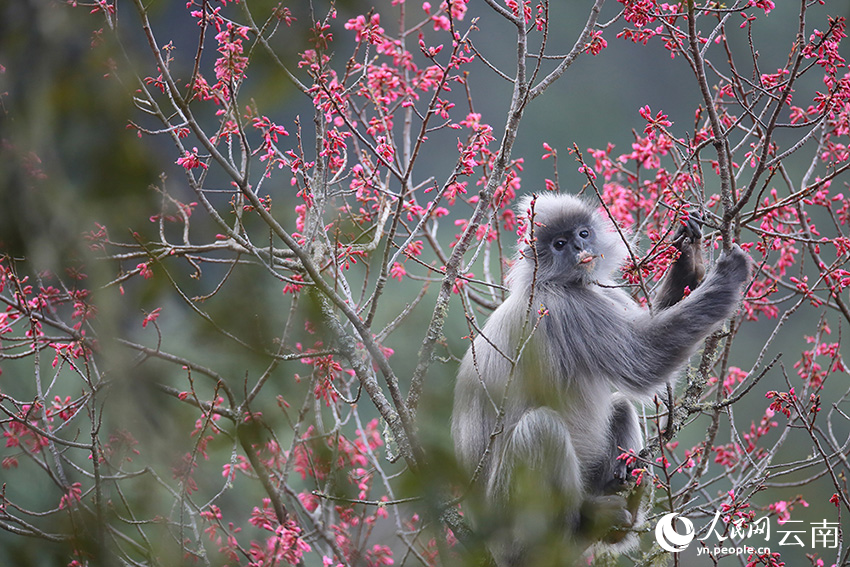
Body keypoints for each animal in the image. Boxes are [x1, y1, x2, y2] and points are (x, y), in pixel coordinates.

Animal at [451, 193, 751, 566]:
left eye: (583, 233)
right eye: (560, 244)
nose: (581, 248)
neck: (551, 281)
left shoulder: (597, 292)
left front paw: (688, 256)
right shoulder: (568, 307)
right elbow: (646, 359)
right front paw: (729, 274)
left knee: (619, 405)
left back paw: (621, 511)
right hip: (510, 518)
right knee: (542, 427)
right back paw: (574, 529)